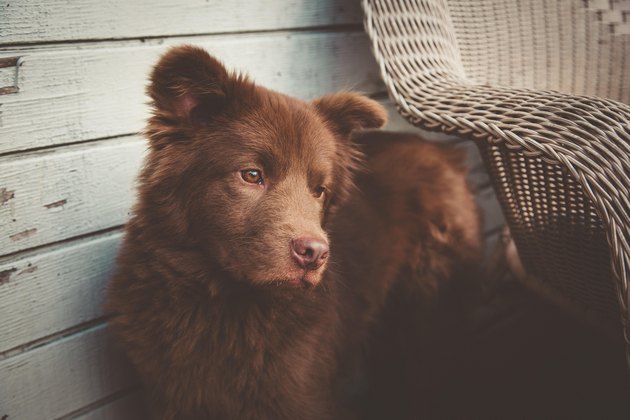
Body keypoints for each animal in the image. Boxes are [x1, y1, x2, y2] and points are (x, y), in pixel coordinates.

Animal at [107, 46, 484, 420]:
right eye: (252, 174)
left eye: (319, 190)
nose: (315, 254)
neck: (225, 308)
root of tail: (444, 151)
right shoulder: (172, 395)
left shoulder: (299, 396)